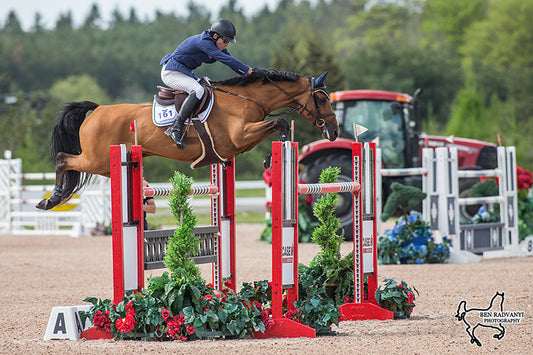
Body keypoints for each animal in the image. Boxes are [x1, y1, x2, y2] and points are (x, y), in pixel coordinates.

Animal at [36, 69, 336, 211]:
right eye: (322, 98)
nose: (333, 132)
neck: (246, 99)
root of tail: (97, 109)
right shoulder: (239, 137)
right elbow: (280, 122)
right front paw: (271, 155)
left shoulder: (237, 143)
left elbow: (277, 124)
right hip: (96, 159)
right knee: (64, 159)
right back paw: (53, 199)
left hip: (106, 163)